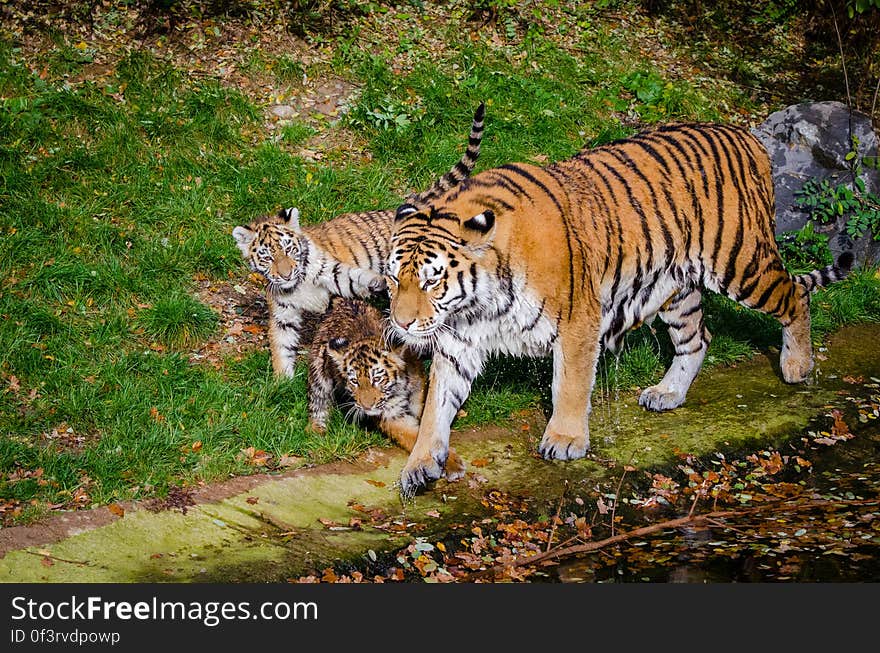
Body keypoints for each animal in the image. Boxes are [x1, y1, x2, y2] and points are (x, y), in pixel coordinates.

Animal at [386, 121, 852, 494]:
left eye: (432, 280)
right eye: (393, 278)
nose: (402, 323)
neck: (478, 304)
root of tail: (745, 135)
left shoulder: (577, 322)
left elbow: (570, 386)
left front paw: (565, 440)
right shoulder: (458, 343)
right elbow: (436, 407)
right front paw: (420, 463)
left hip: (741, 263)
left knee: (796, 296)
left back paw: (797, 365)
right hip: (676, 288)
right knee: (698, 339)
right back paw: (668, 393)